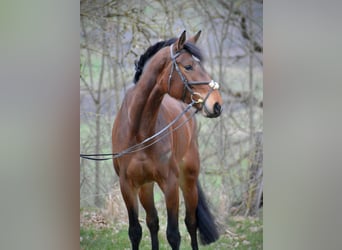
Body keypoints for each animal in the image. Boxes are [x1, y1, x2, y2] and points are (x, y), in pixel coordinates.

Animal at [112, 30, 223, 249]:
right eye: (188, 66)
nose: (216, 105)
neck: (139, 132)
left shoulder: (170, 184)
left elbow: (174, 234)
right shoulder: (128, 185)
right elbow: (135, 231)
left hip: (188, 179)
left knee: (191, 222)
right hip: (146, 186)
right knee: (152, 222)